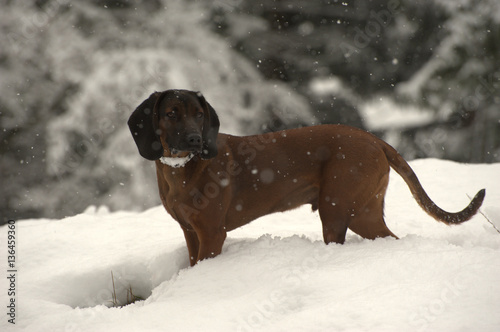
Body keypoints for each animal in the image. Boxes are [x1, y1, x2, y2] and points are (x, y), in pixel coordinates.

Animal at [128, 89, 484, 266]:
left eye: (199, 115)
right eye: (171, 113)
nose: (194, 140)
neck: (180, 168)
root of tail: (374, 140)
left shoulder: (212, 234)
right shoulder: (191, 232)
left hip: (338, 209)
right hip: (364, 211)